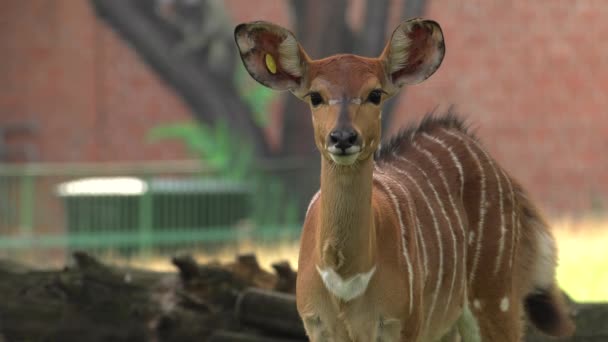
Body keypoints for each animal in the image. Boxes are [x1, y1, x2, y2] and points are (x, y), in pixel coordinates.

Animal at [233, 18, 576, 342]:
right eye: (315, 97)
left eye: (375, 94)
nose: (343, 138)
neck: (346, 276)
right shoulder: (317, 324)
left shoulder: (401, 323)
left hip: (494, 297)